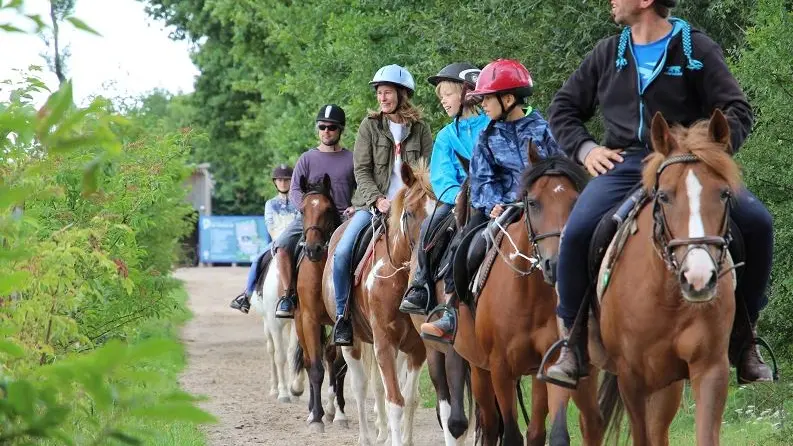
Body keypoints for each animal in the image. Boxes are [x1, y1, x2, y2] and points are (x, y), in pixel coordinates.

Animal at [322, 163, 434, 446]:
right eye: (409, 212)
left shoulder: (416, 348)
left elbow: (410, 399)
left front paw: (404, 439)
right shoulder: (384, 341)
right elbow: (395, 401)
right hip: (351, 342)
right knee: (360, 387)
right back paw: (365, 436)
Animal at [448, 146, 604, 446]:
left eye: (575, 201)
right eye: (532, 203)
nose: (556, 264)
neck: (529, 294)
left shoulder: (554, 363)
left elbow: (556, 433)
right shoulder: (499, 369)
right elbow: (510, 433)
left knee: (558, 428)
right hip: (480, 371)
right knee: (491, 423)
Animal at [596, 110, 744, 444]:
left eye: (724, 193)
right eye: (663, 196)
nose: (698, 278)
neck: (668, 300)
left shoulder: (711, 369)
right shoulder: (631, 379)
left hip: (667, 388)